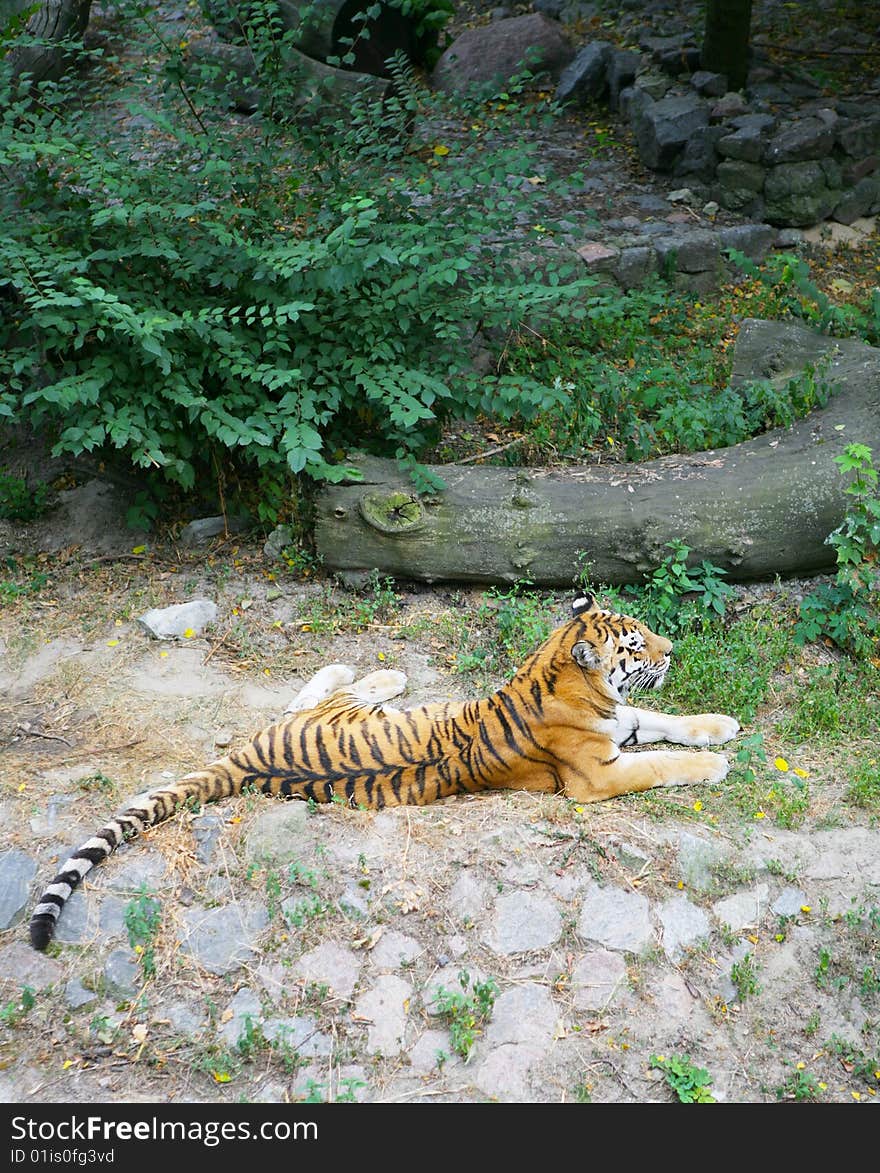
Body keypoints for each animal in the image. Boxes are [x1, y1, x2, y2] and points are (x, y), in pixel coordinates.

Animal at [29, 595, 746, 952]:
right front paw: (717, 761)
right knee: (326, 688)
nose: (674, 650)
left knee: (297, 698)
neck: (568, 676)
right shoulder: (598, 775)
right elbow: (661, 760)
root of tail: (244, 762)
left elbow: (666, 718)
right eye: (636, 643)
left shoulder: (625, 720)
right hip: (335, 715)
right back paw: (381, 671)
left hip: (304, 722)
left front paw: (722, 724)